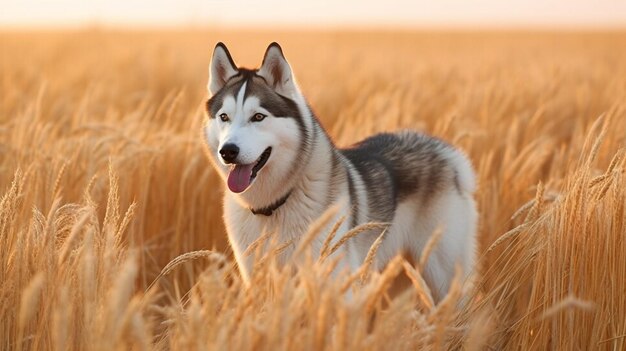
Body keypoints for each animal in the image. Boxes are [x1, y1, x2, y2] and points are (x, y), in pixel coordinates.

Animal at [202, 42, 476, 302]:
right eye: (224, 117)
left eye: (258, 117)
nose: (228, 151)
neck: (273, 206)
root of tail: (444, 151)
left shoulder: (336, 283)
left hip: (443, 274)